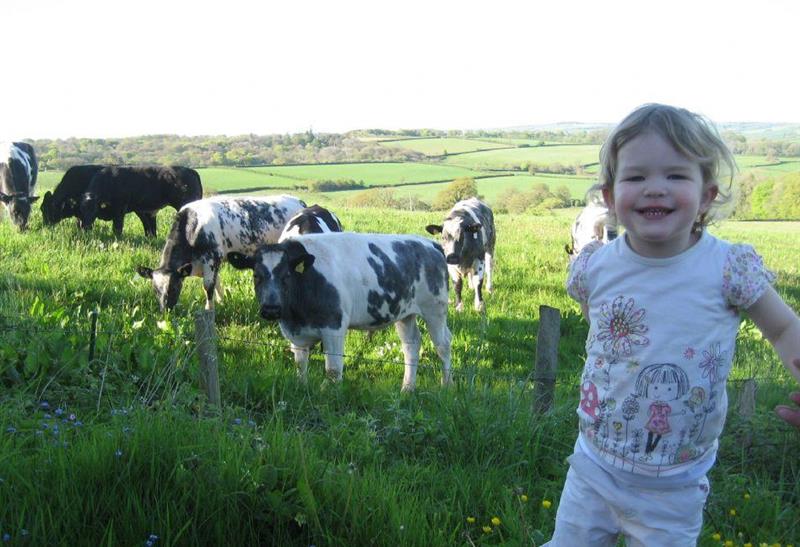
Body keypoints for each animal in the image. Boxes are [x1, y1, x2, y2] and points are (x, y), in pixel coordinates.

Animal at [136, 195, 304, 310]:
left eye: (174, 287)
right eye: (155, 289)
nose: (165, 310)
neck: (192, 226)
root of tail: (298, 201)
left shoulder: (211, 258)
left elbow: (208, 286)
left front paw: (209, 309)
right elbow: (217, 283)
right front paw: (222, 302)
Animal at [228, 233, 454, 392]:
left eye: (286, 275)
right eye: (256, 275)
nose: (271, 309)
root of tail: (430, 244)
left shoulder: (334, 326)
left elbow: (333, 370)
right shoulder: (297, 333)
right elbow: (300, 365)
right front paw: (302, 388)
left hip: (435, 308)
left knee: (443, 345)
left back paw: (446, 385)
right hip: (405, 314)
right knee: (411, 345)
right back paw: (407, 388)